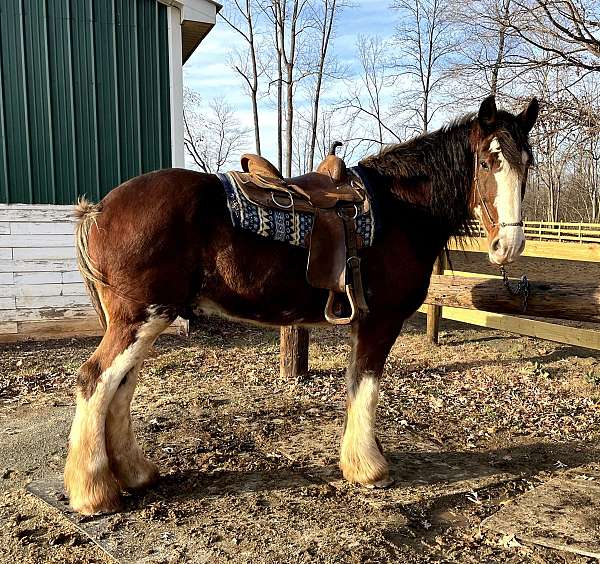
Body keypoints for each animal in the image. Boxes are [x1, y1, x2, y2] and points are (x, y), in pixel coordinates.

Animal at [64, 97, 540, 516]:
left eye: (528, 164)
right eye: (487, 163)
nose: (508, 245)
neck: (400, 212)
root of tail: (100, 209)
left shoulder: (363, 322)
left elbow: (355, 385)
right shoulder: (380, 321)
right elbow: (367, 387)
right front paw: (370, 470)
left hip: (145, 321)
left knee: (120, 387)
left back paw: (136, 475)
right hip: (140, 318)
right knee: (95, 380)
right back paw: (94, 495)